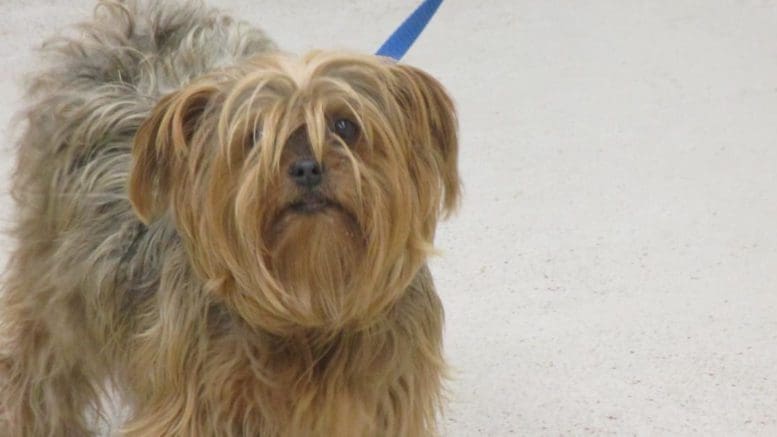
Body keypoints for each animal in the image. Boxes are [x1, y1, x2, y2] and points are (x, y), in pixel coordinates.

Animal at [0, 0, 458, 436]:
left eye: (345, 125)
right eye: (255, 136)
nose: (307, 167)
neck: (311, 306)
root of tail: (130, 26)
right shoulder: (196, 403)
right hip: (57, 290)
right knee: (32, 363)